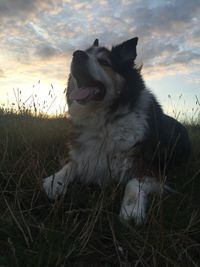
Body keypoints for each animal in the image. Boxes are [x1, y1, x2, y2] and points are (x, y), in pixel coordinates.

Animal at [42, 37, 191, 225]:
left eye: (104, 61)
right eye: (86, 52)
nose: (77, 54)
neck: (106, 120)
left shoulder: (154, 171)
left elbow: (133, 182)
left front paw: (132, 210)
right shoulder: (86, 157)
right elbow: (71, 164)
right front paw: (55, 181)